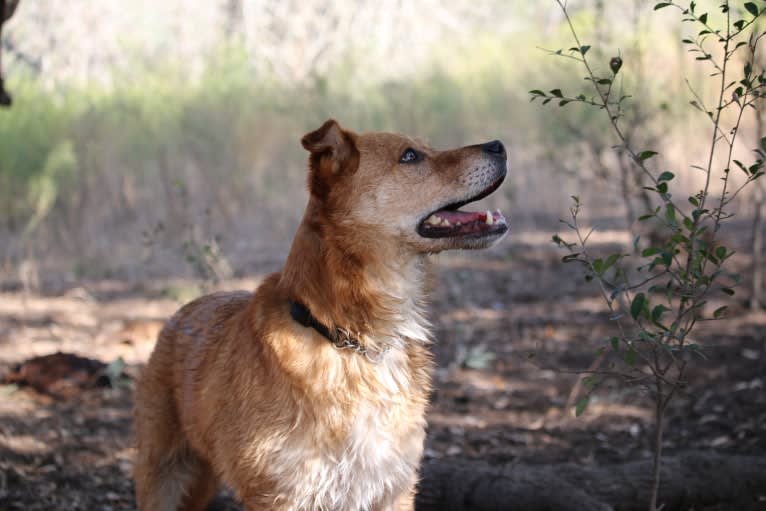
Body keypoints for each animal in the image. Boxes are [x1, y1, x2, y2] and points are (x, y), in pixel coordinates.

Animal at [134, 118, 510, 510]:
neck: (346, 335)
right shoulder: (283, 494)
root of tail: (184, 311)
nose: (499, 145)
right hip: (165, 476)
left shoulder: (391, 488)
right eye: (410, 156)